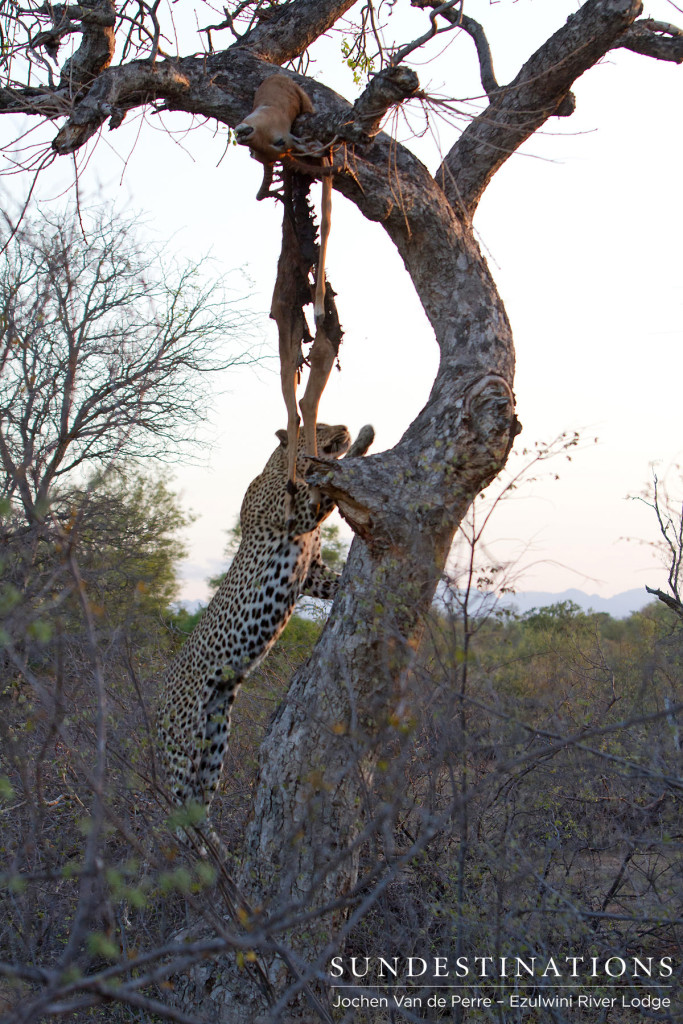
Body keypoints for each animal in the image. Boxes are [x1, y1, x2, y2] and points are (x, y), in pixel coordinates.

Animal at [156, 419, 374, 835]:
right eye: (322, 425)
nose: (344, 425)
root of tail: (156, 709)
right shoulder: (298, 514)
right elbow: (328, 482)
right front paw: (363, 441)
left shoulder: (312, 572)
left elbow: (333, 580)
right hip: (183, 749)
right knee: (179, 819)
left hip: (214, 742)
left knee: (198, 809)